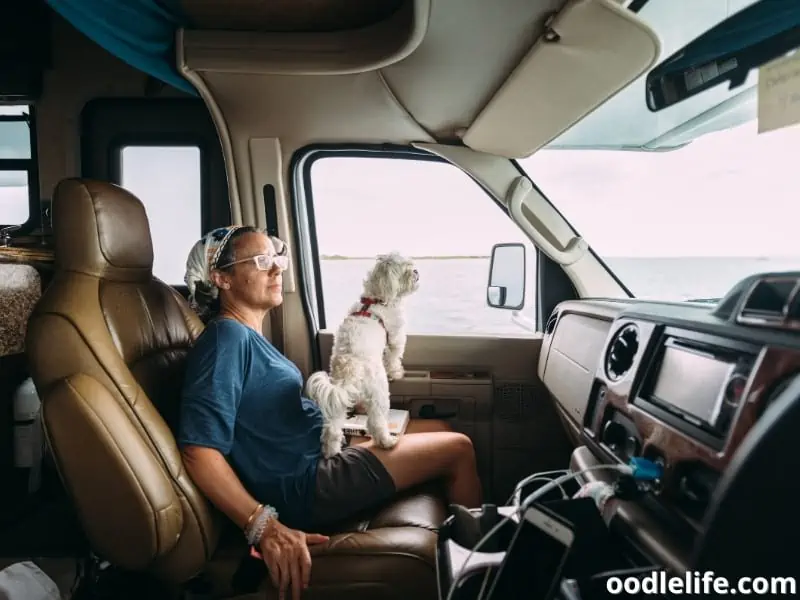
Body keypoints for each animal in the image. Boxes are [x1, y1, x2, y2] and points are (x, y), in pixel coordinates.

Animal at [304, 252, 418, 454]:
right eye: (406, 267)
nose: (416, 272)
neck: (376, 299)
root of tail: (350, 370)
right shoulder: (396, 336)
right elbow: (394, 356)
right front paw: (396, 372)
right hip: (378, 392)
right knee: (376, 421)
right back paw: (387, 441)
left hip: (337, 401)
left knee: (331, 429)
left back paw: (332, 452)